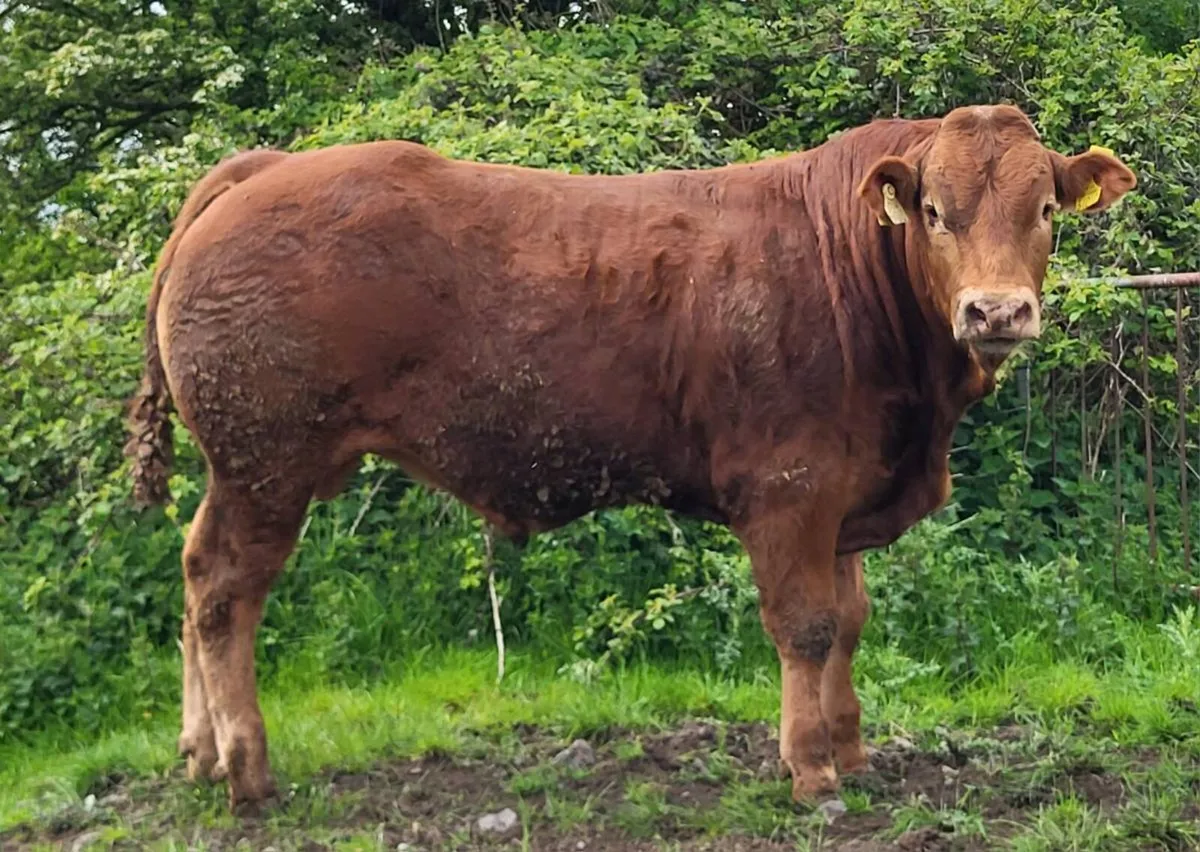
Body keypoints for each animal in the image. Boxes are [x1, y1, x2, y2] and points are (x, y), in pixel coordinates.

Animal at [125, 104, 1136, 811]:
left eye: (1047, 208)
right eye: (932, 210)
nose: (996, 311)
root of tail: (264, 167)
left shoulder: (847, 494)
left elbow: (850, 622)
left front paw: (852, 750)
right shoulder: (790, 491)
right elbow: (805, 627)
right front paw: (812, 772)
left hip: (241, 468)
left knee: (191, 576)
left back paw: (199, 752)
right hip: (266, 462)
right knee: (223, 592)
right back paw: (246, 771)